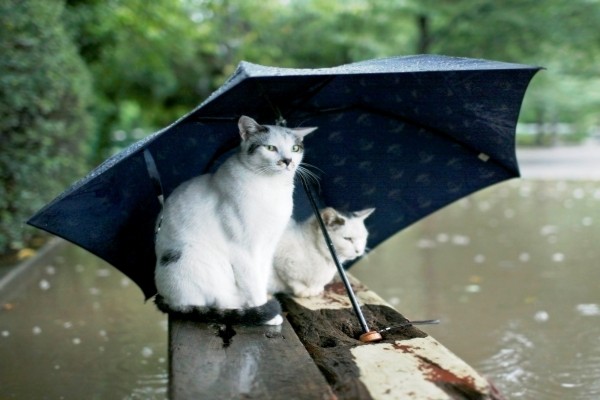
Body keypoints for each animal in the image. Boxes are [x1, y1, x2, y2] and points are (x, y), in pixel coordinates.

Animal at [152, 115, 316, 324]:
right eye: (270, 148)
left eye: (295, 149)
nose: (287, 161)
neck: (272, 187)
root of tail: (167, 299)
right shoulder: (243, 250)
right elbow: (253, 284)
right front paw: (266, 314)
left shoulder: (268, 247)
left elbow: (261, 278)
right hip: (200, 259)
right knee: (220, 303)